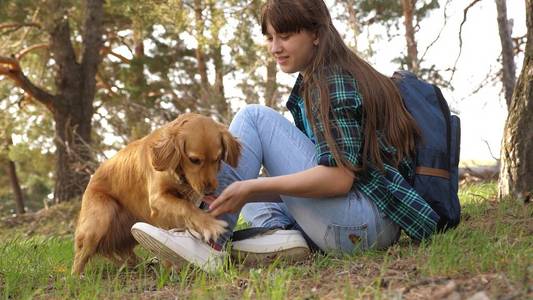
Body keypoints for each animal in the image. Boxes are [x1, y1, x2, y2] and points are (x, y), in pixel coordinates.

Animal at [70, 112, 239, 274]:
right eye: (194, 160)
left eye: (217, 158)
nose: (210, 190)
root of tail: (92, 179)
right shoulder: (158, 198)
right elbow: (185, 207)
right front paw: (209, 224)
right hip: (100, 219)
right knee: (81, 255)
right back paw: (77, 276)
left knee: (124, 252)